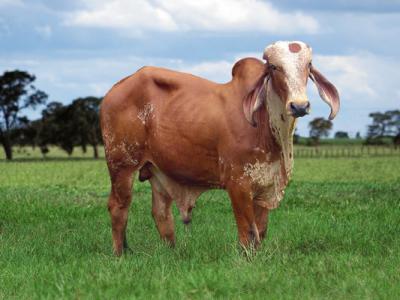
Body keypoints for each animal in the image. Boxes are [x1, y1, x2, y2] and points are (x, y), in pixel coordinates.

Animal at [101, 40, 340, 255]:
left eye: (309, 64)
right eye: (274, 67)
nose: (299, 106)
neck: (267, 125)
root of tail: (115, 88)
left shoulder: (265, 184)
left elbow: (261, 231)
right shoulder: (238, 184)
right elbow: (248, 232)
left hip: (157, 171)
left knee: (161, 213)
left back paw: (171, 252)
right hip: (121, 164)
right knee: (118, 206)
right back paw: (120, 254)